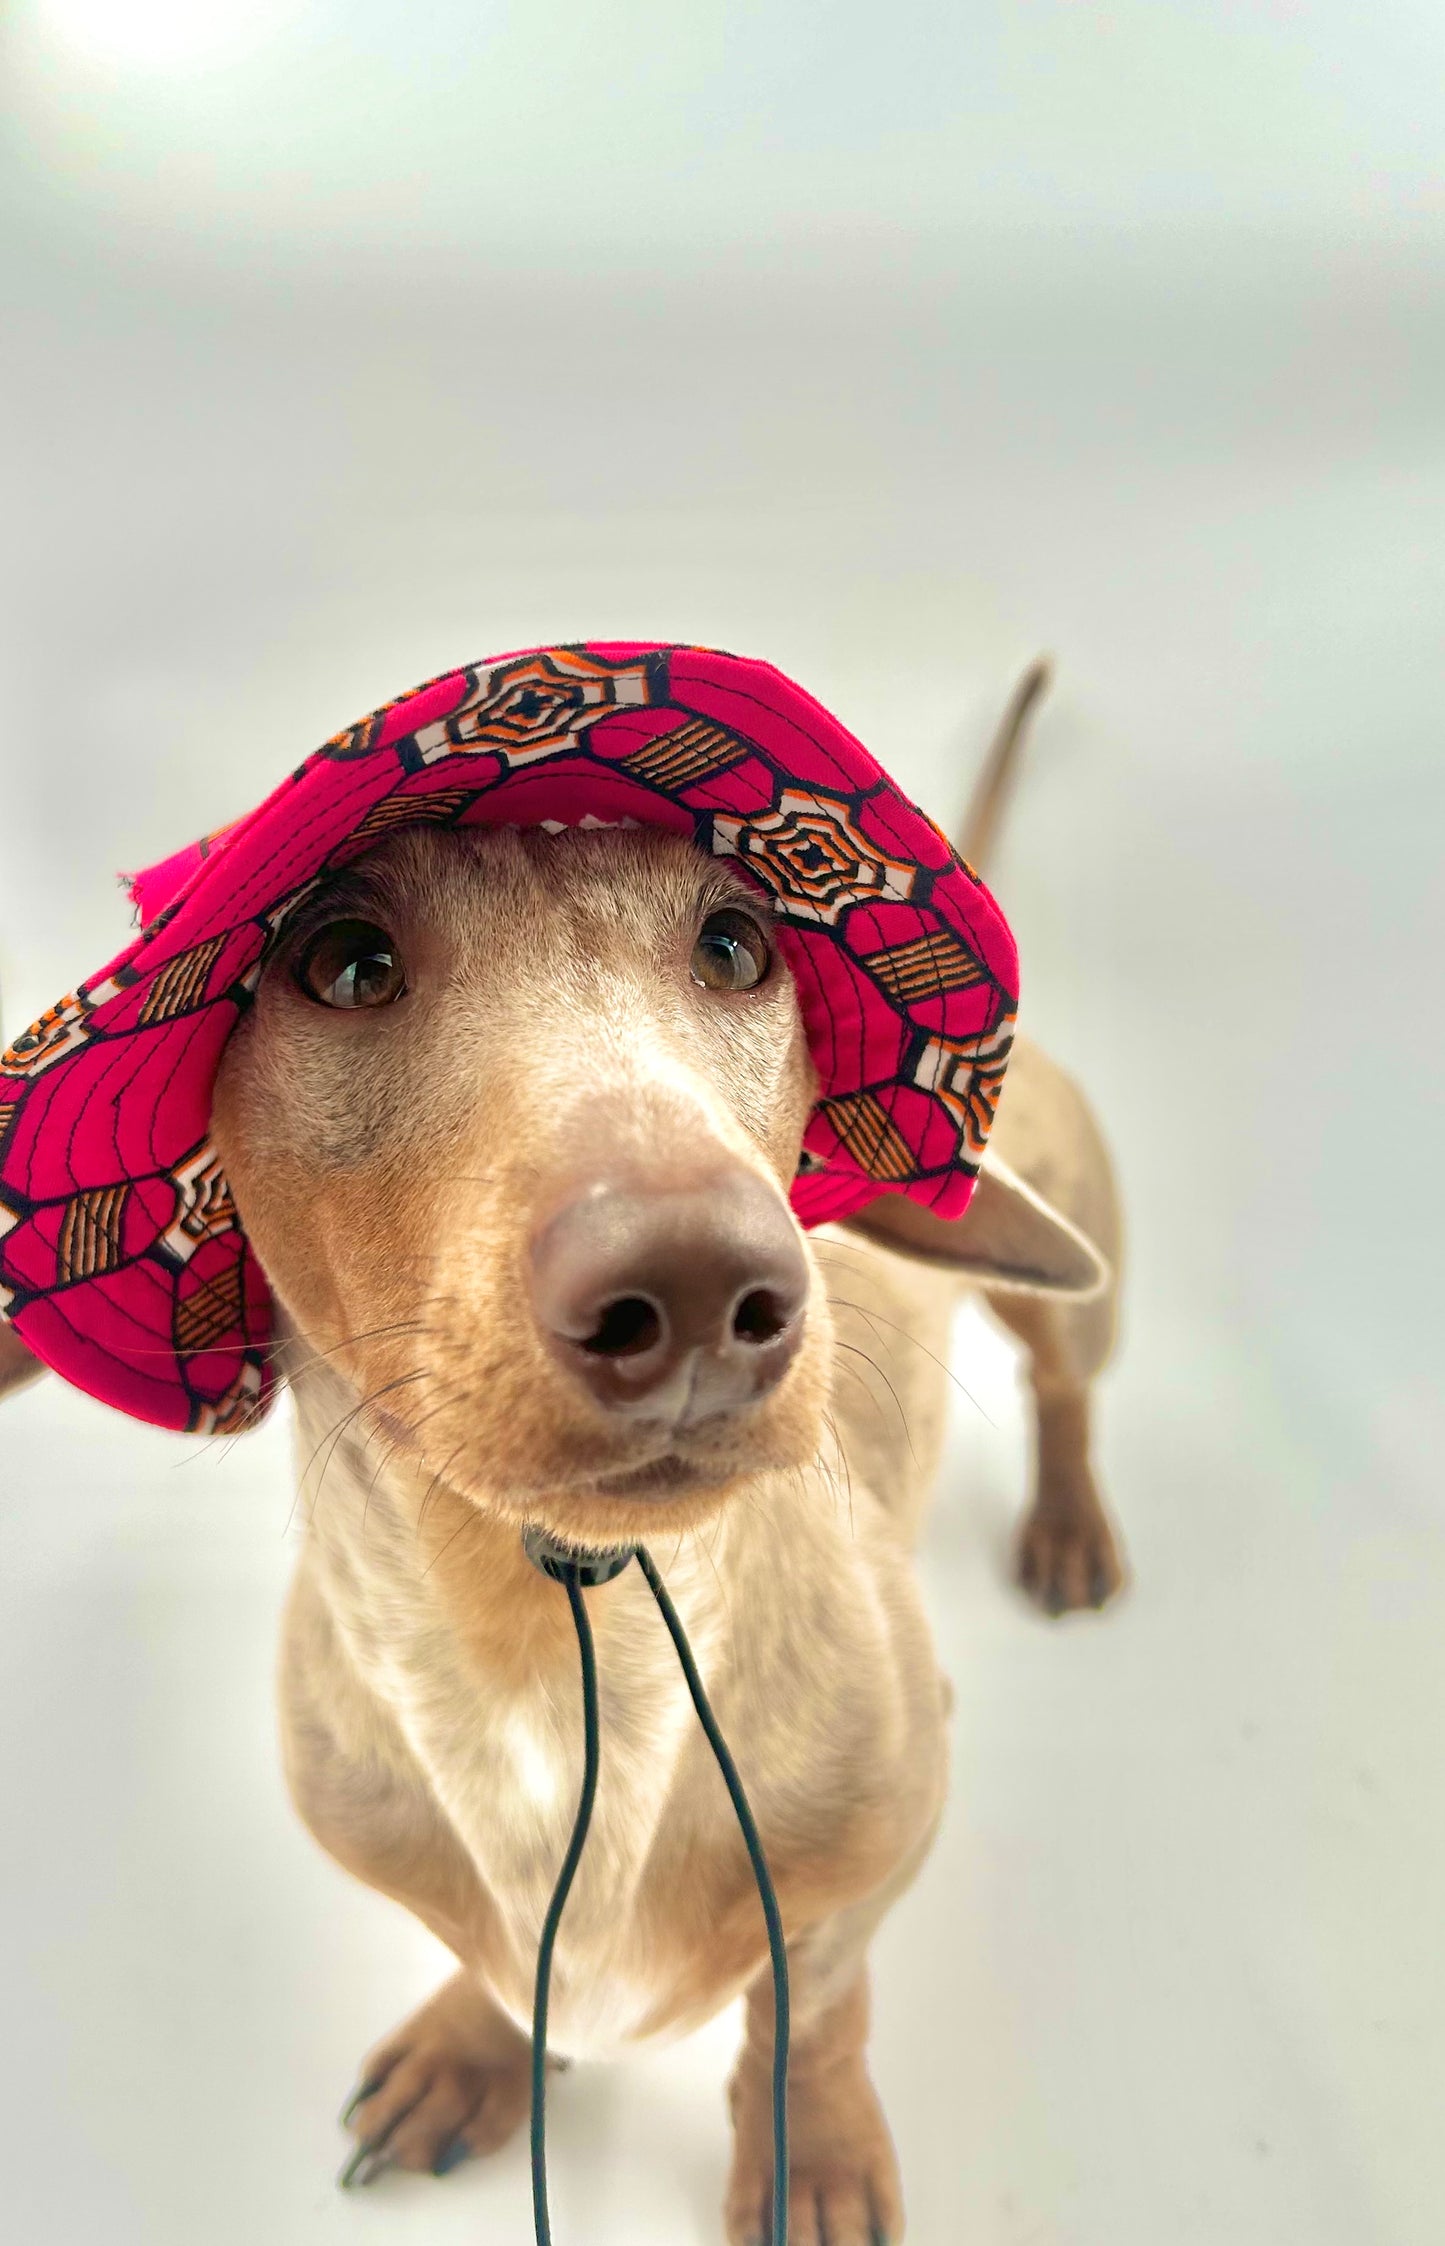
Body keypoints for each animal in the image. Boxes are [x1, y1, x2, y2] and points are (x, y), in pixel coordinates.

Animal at [2, 660, 1132, 2246]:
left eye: (734, 945)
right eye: (344, 960)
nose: (705, 1286)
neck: (556, 1640)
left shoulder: (865, 1868)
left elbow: (811, 2009)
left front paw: (811, 2147)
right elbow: (496, 1971)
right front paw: (477, 2050)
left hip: (1079, 1289)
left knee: (1064, 1391)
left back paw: (1070, 1523)